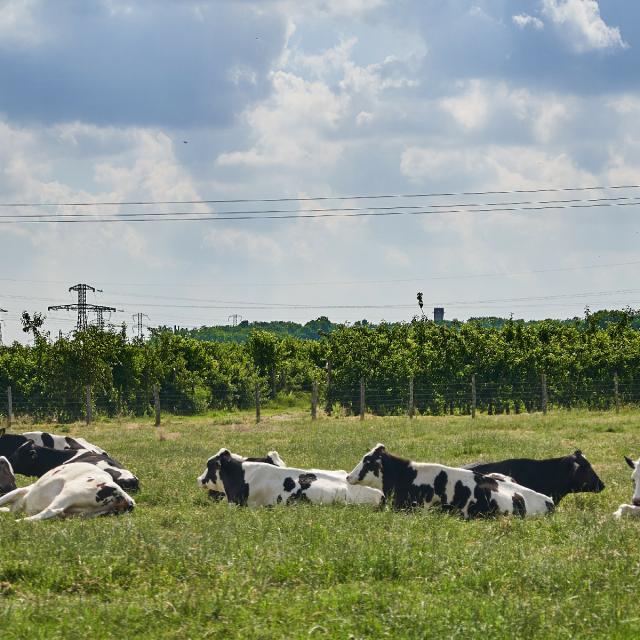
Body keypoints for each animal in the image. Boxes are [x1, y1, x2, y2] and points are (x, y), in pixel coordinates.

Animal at [0, 462, 135, 521]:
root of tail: (127, 498)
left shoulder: (21, 491)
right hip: (87, 513)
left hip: (70, 492)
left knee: (51, 510)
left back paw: (16, 522)